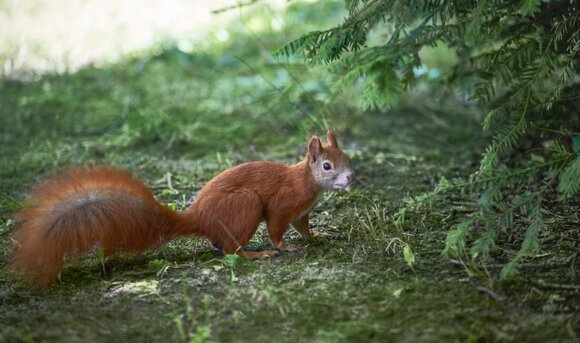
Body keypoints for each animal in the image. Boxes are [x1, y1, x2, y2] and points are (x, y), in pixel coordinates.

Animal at [10, 132, 354, 288]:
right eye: (327, 165)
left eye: (348, 157)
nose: (351, 177)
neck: (306, 181)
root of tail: (198, 217)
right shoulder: (282, 205)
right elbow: (277, 228)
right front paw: (284, 246)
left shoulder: (302, 212)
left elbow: (304, 227)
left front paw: (316, 237)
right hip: (245, 204)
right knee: (229, 250)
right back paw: (256, 254)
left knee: (219, 246)